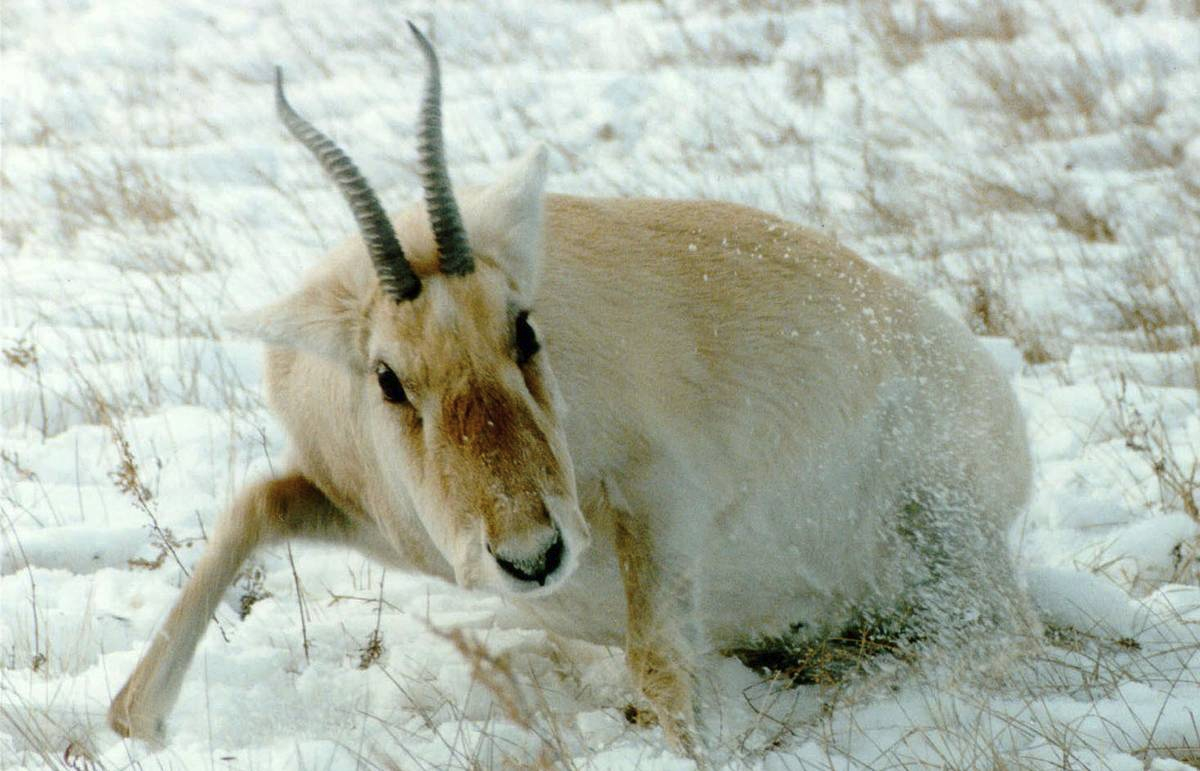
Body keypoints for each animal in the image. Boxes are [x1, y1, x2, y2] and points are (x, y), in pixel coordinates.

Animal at [108, 22, 1036, 749]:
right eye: (387, 378)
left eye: (524, 328)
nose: (534, 556)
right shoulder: (376, 516)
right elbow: (256, 503)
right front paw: (139, 720)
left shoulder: (663, 502)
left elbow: (659, 666)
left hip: (944, 529)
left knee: (1001, 637)